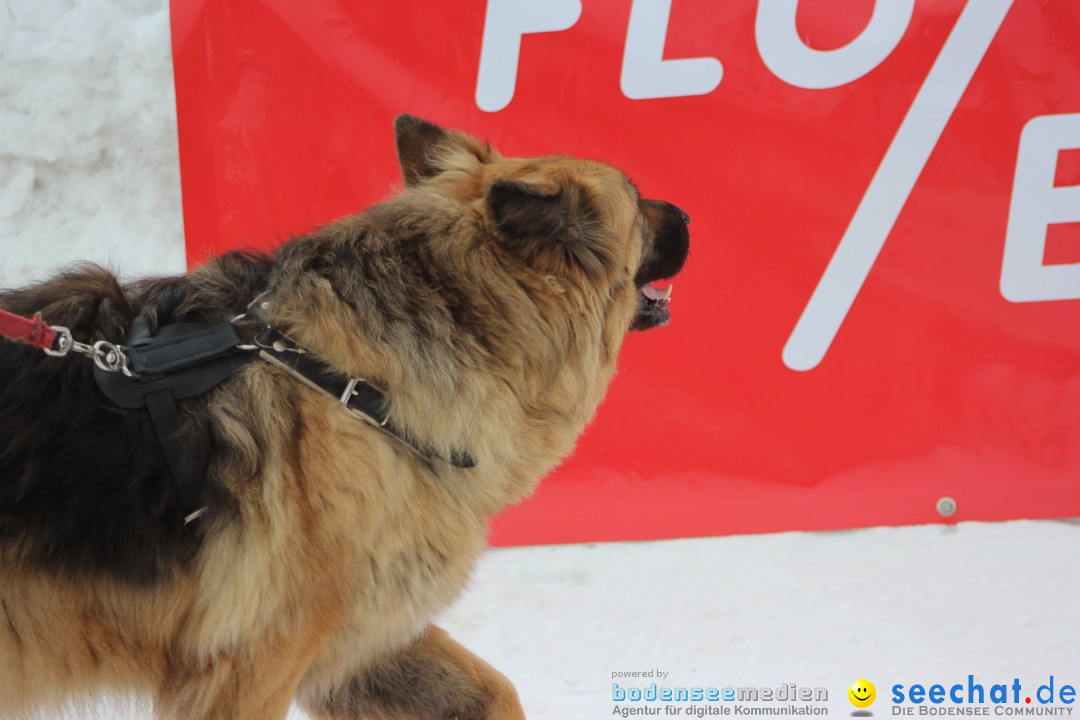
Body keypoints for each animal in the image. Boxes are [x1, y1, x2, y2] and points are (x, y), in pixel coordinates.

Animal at [0, 115, 691, 716]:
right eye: (638, 200)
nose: (688, 213)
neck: (355, 383)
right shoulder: (252, 667)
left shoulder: (359, 640)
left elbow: (495, 692)